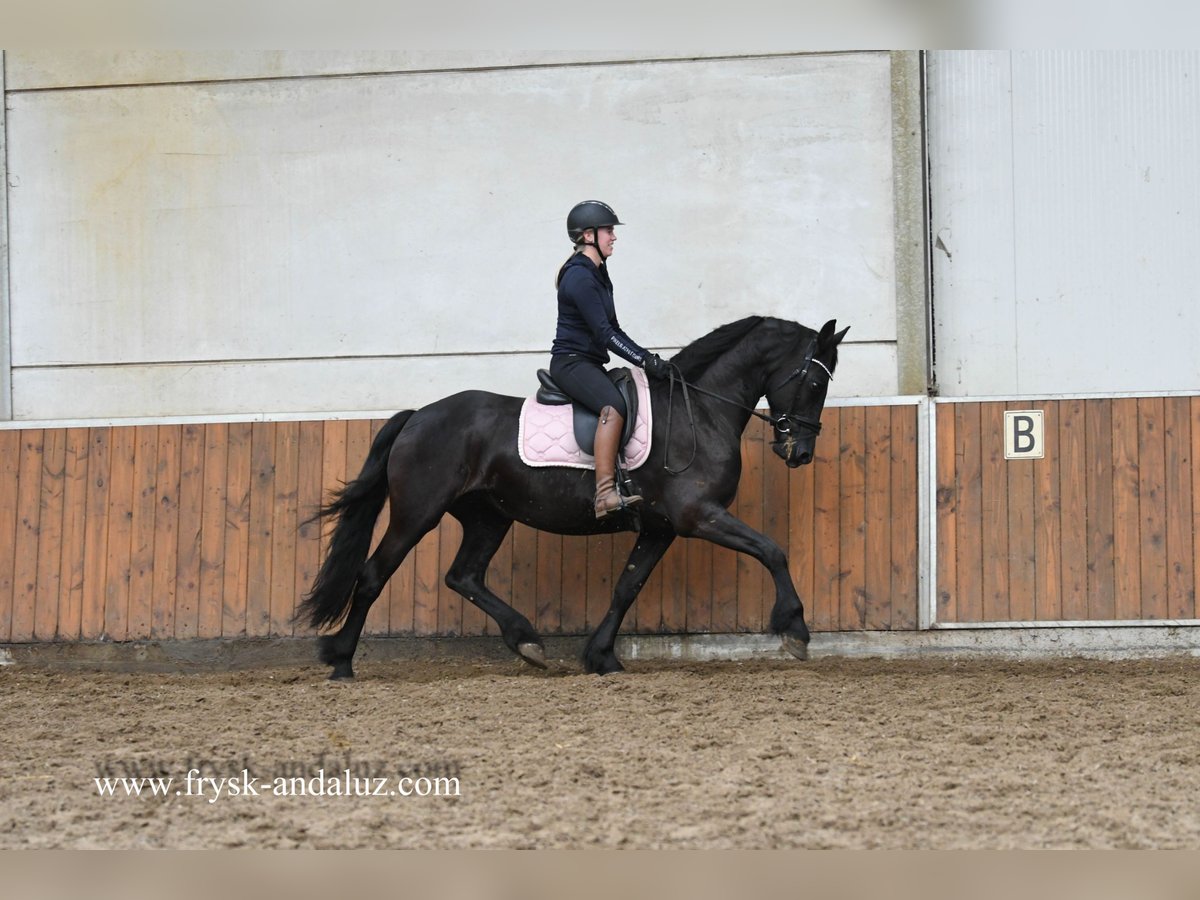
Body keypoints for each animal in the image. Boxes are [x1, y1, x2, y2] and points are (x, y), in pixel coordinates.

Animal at [296, 314, 849, 676]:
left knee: (463, 576)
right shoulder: (697, 516)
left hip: (488, 516)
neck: (698, 412)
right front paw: (795, 631)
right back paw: (341, 662)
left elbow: (627, 586)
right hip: (417, 513)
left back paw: (527, 642)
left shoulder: (660, 527)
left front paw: (601, 657)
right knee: (373, 575)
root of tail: (418, 415)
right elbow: (772, 550)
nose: (800, 452)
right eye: (815, 381)